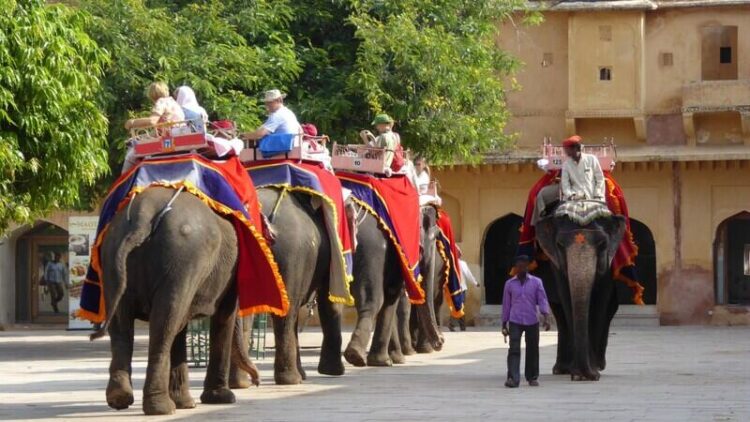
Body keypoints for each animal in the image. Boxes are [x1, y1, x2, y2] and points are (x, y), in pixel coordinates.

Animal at [93, 187, 261, 415]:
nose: (257, 380)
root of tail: (142, 216)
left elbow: (182, 325)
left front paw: (187, 404)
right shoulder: (229, 272)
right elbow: (224, 317)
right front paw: (222, 398)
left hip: (112, 256)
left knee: (126, 325)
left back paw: (120, 398)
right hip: (183, 258)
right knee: (165, 326)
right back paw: (162, 408)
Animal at [232, 187, 344, 386]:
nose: (257, 380)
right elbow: (329, 300)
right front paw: (334, 372)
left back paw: (242, 384)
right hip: (291, 253)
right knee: (287, 314)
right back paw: (291, 380)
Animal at [344, 205, 444, 367]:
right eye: (435, 236)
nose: (441, 341)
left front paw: (394, 358)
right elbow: (391, 295)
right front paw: (391, 360)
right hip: (372, 251)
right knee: (373, 300)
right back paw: (355, 355)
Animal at [535, 211, 626, 381]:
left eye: (603, 243)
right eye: (559, 245)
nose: (589, 374)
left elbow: (601, 298)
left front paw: (591, 372)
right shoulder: (556, 262)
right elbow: (566, 297)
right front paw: (580, 374)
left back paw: (598, 364)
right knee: (558, 310)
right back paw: (562, 369)